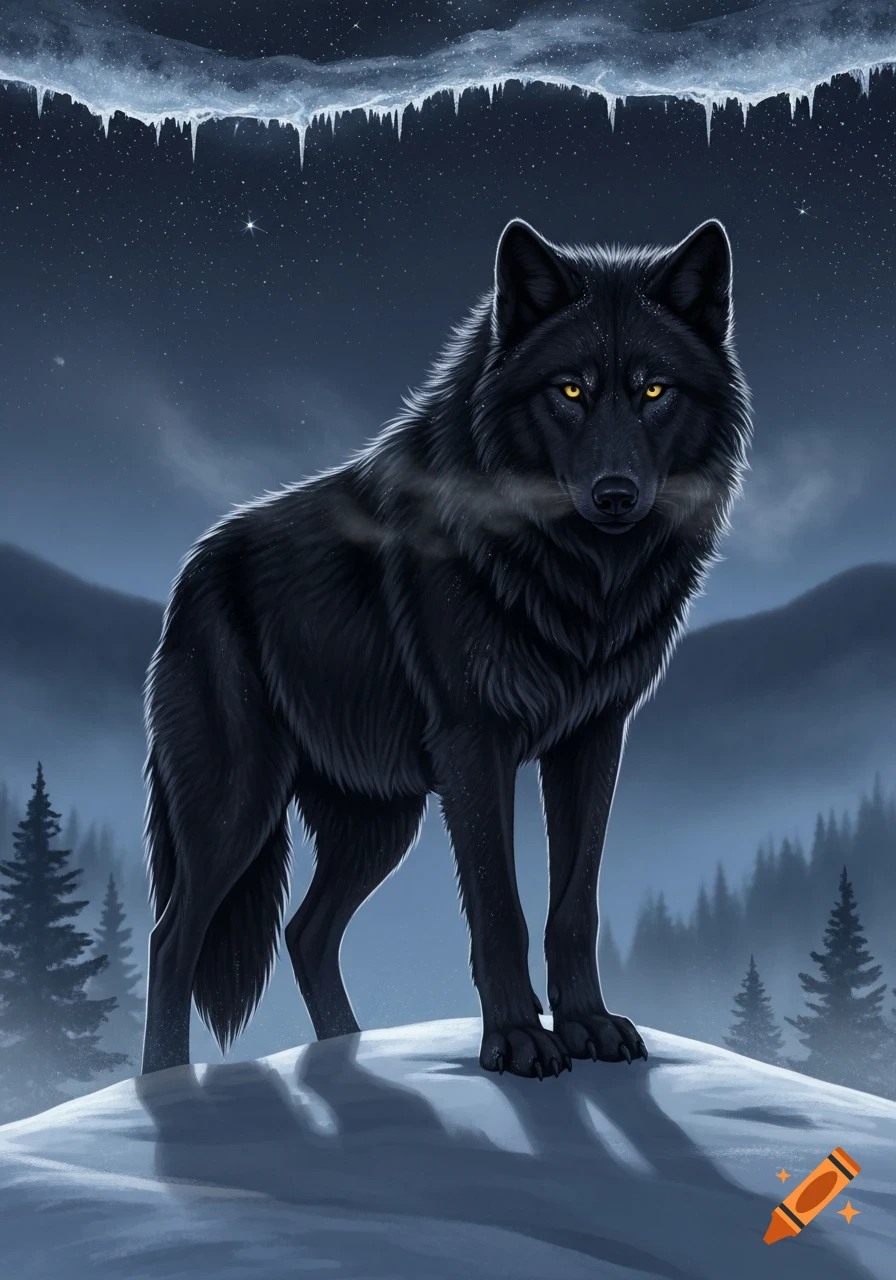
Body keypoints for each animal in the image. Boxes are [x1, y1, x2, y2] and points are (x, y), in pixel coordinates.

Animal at [141, 218, 751, 1079]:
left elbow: (575, 904)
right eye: (569, 391)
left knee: (306, 932)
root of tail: (190, 574)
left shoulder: (594, 738)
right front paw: (518, 1040)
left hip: (380, 822)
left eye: (654, 391)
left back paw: (348, 1054)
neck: (573, 573)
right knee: (173, 938)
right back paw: (162, 1084)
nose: (615, 495)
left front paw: (588, 1027)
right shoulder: (475, 742)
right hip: (238, 807)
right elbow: (500, 908)